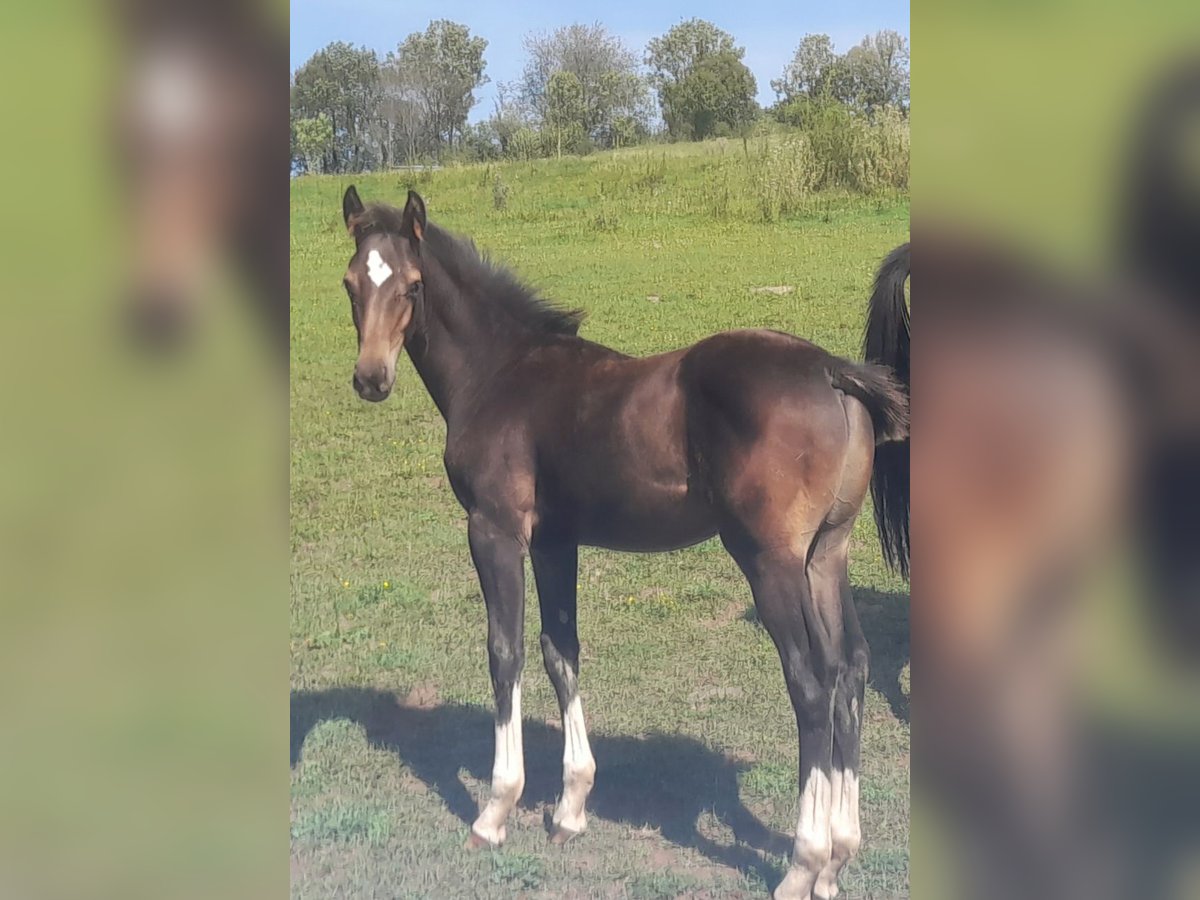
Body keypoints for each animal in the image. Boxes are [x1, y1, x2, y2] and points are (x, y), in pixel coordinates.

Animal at [338, 184, 907, 900]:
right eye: (350, 282)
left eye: (412, 285)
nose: (370, 378)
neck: (499, 374)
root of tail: (831, 370)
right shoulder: (555, 541)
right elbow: (561, 651)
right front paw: (571, 808)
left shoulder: (494, 530)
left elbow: (505, 652)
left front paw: (495, 811)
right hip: (825, 556)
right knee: (850, 667)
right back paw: (837, 859)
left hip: (770, 561)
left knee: (810, 682)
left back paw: (803, 862)